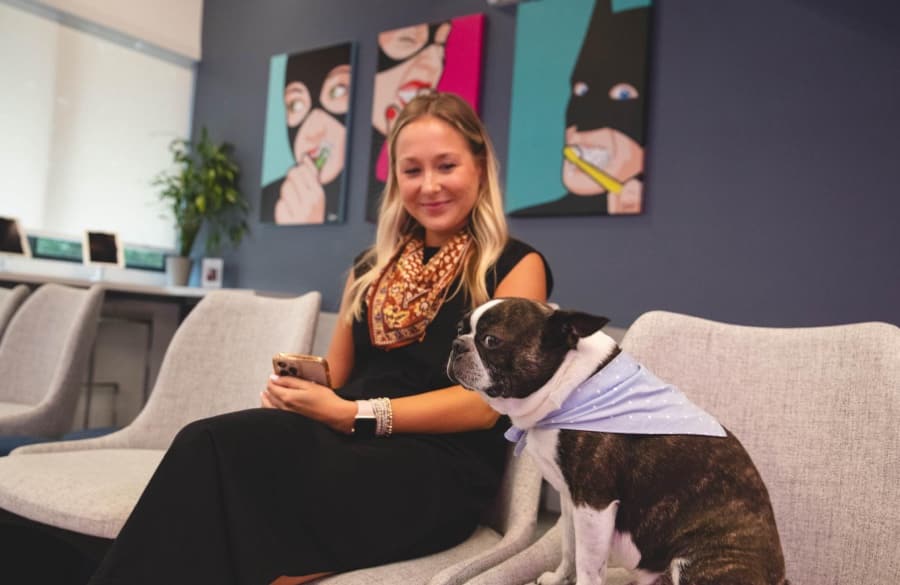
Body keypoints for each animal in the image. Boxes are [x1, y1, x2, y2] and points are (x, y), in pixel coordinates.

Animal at [446, 302, 784, 584]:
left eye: (491, 340)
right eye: (460, 328)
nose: (456, 344)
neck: (570, 384)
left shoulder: (594, 505)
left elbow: (588, 566)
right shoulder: (571, 500)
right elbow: (569, 549)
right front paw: (557, 579)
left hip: (700, 563)